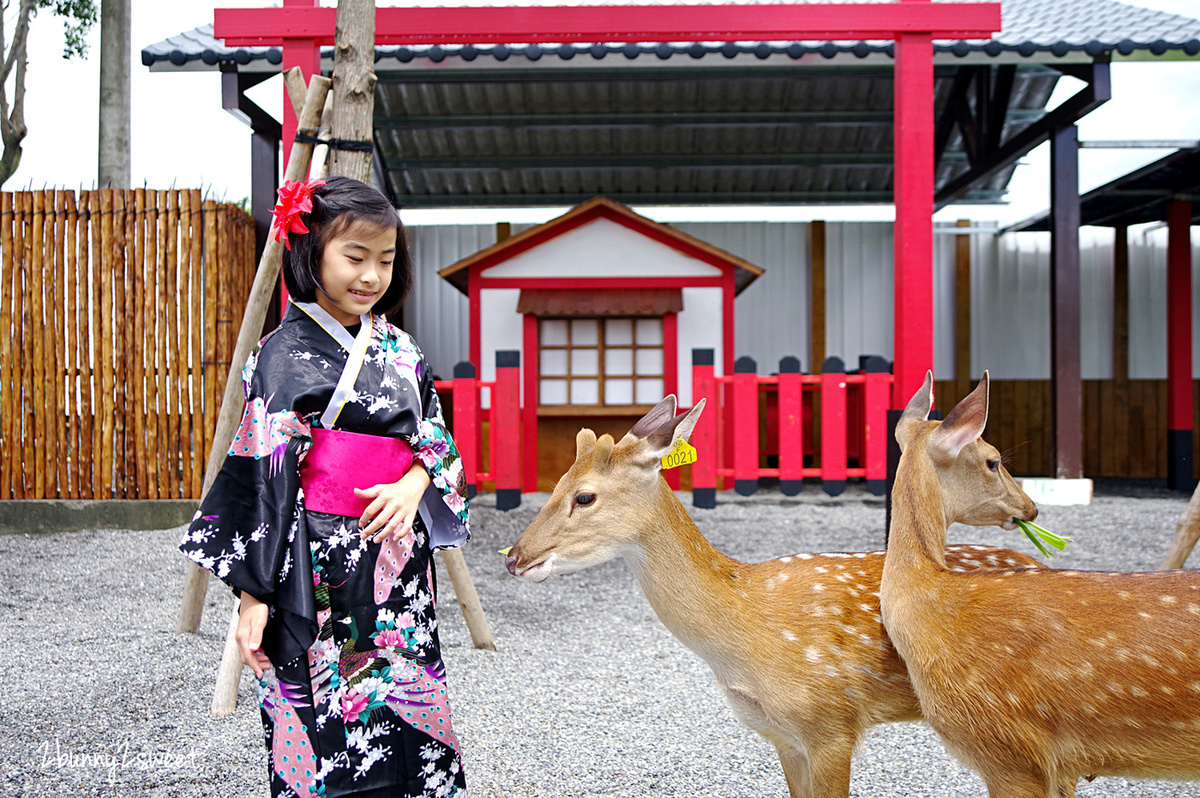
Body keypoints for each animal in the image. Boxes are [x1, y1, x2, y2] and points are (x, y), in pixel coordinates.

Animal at [501, 396, 1046, 792]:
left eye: (584, 496)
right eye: (555, 483)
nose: (514, 557)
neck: (743, 633)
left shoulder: (831, 726)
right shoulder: (781, 735)